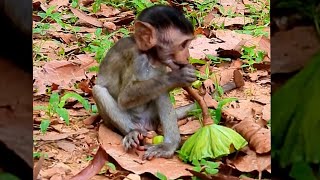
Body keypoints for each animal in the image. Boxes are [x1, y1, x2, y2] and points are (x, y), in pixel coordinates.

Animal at [92, 4, 196, 160]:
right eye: (183, 44)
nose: (188, 56)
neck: (150, 56)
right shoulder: (137, 59)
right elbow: (125, 97)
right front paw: (178, 77)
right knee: (98, 90)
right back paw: (132, 132)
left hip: (151, 115)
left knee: (160, 91)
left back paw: (169, 145)